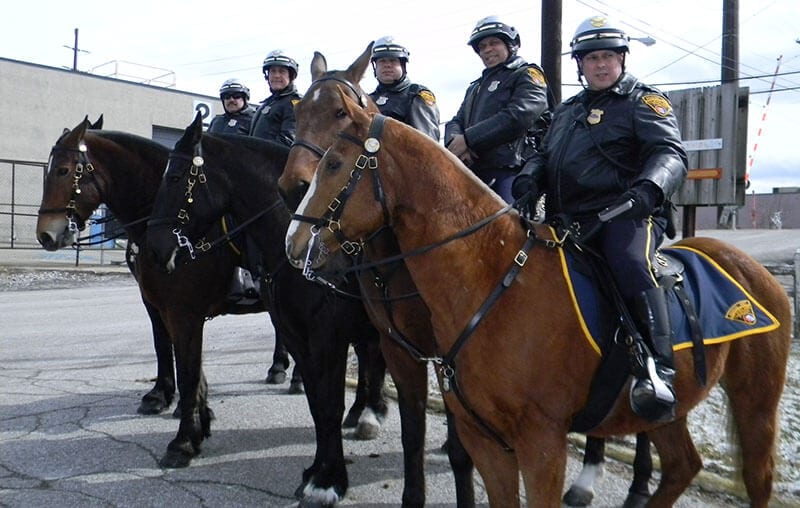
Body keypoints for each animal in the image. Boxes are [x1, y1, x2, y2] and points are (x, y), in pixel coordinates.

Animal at [146, 115, 390, 504]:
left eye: (175, 177)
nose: (155, 249)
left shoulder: (327, 338)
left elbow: (329, 403)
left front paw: (329, 481)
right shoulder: (296, 337)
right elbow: (318, 405)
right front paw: (316, 471)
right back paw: (367, 415)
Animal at [284, 92, 792, 508]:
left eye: (334, 165)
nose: (293, 241)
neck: (493, 279)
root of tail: (748, 268)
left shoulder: (541, 444)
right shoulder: (486, 440)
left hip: (755, 403)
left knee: (757, 479)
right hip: (670, 413)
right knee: (683, 466)